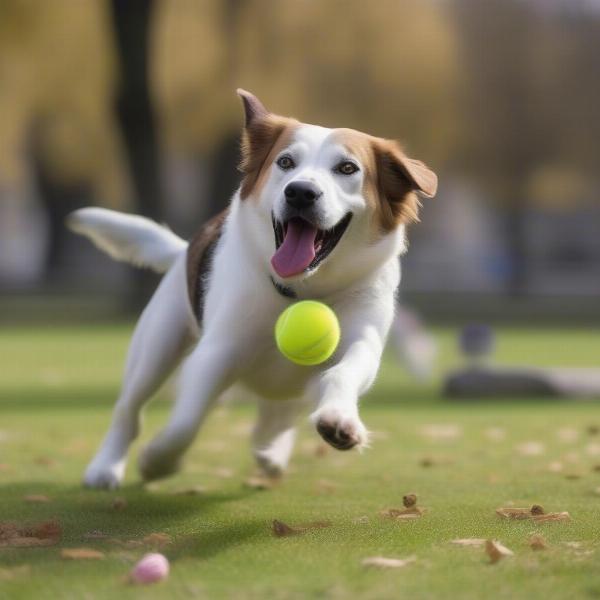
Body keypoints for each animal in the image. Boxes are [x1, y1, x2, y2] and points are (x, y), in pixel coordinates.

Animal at [69, 91, 436, 490]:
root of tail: (182, 251)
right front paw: (158, 460)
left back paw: (271, 449)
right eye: (286, 162)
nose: (301, 192)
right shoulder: (218, 352)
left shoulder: (362, 341)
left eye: (347, 168)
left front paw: (339, 421)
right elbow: (185, 422)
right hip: (158, 344)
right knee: (129, 409)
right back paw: (106, 466)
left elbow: (344, 372)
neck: (303, 290)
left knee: (278, 415)